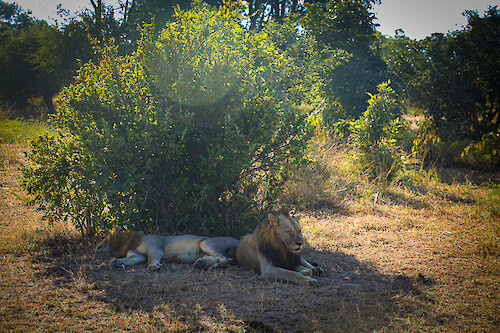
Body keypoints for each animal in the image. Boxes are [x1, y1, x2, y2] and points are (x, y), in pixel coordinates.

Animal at [97, 226, 240, 270]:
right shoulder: (137, 255)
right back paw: (202, 263)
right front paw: (115, 262)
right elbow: (128, 260)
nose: (95, 249)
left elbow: (151, 258)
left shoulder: (154, 247)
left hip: (205, 243)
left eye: (101, 245)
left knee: (226, 258)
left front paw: (153, 266)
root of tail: (238, 239)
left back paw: (210, 265)